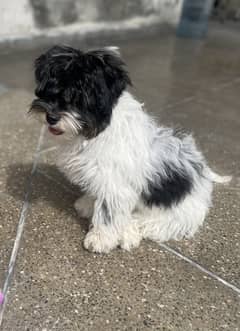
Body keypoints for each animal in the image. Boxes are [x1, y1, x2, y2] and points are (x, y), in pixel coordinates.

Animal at [29, 45, 231, 254]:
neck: (98, 129)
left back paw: (128, 234)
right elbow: (97, 194)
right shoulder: (97, 174)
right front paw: (87, 204)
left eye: (80, 96)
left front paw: (100, 239)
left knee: (145, 222)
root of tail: (202, 172)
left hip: (179, 214)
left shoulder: (115, 185)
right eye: (49, 89)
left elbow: (108, 213)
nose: (51, 117)